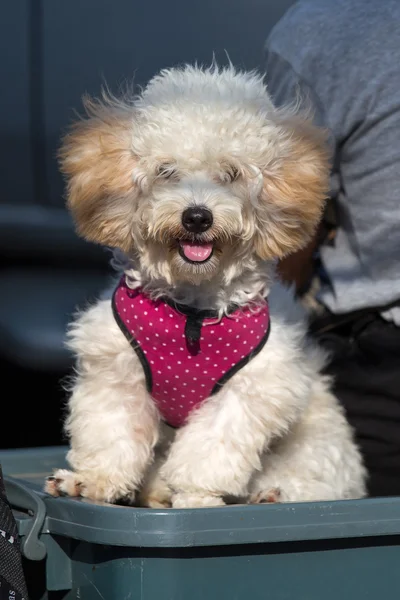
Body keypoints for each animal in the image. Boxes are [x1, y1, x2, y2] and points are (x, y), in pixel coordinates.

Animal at [45, 65, 368, 506]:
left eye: (231, 174)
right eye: (166, 171)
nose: (197, 217)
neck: (192, 312)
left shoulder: (250, 391)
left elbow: (208, 453)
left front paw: (195, 497)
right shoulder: (116, 373)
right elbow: (111, 434)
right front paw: (93, 481)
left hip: (316, 448)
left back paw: (269, 495)